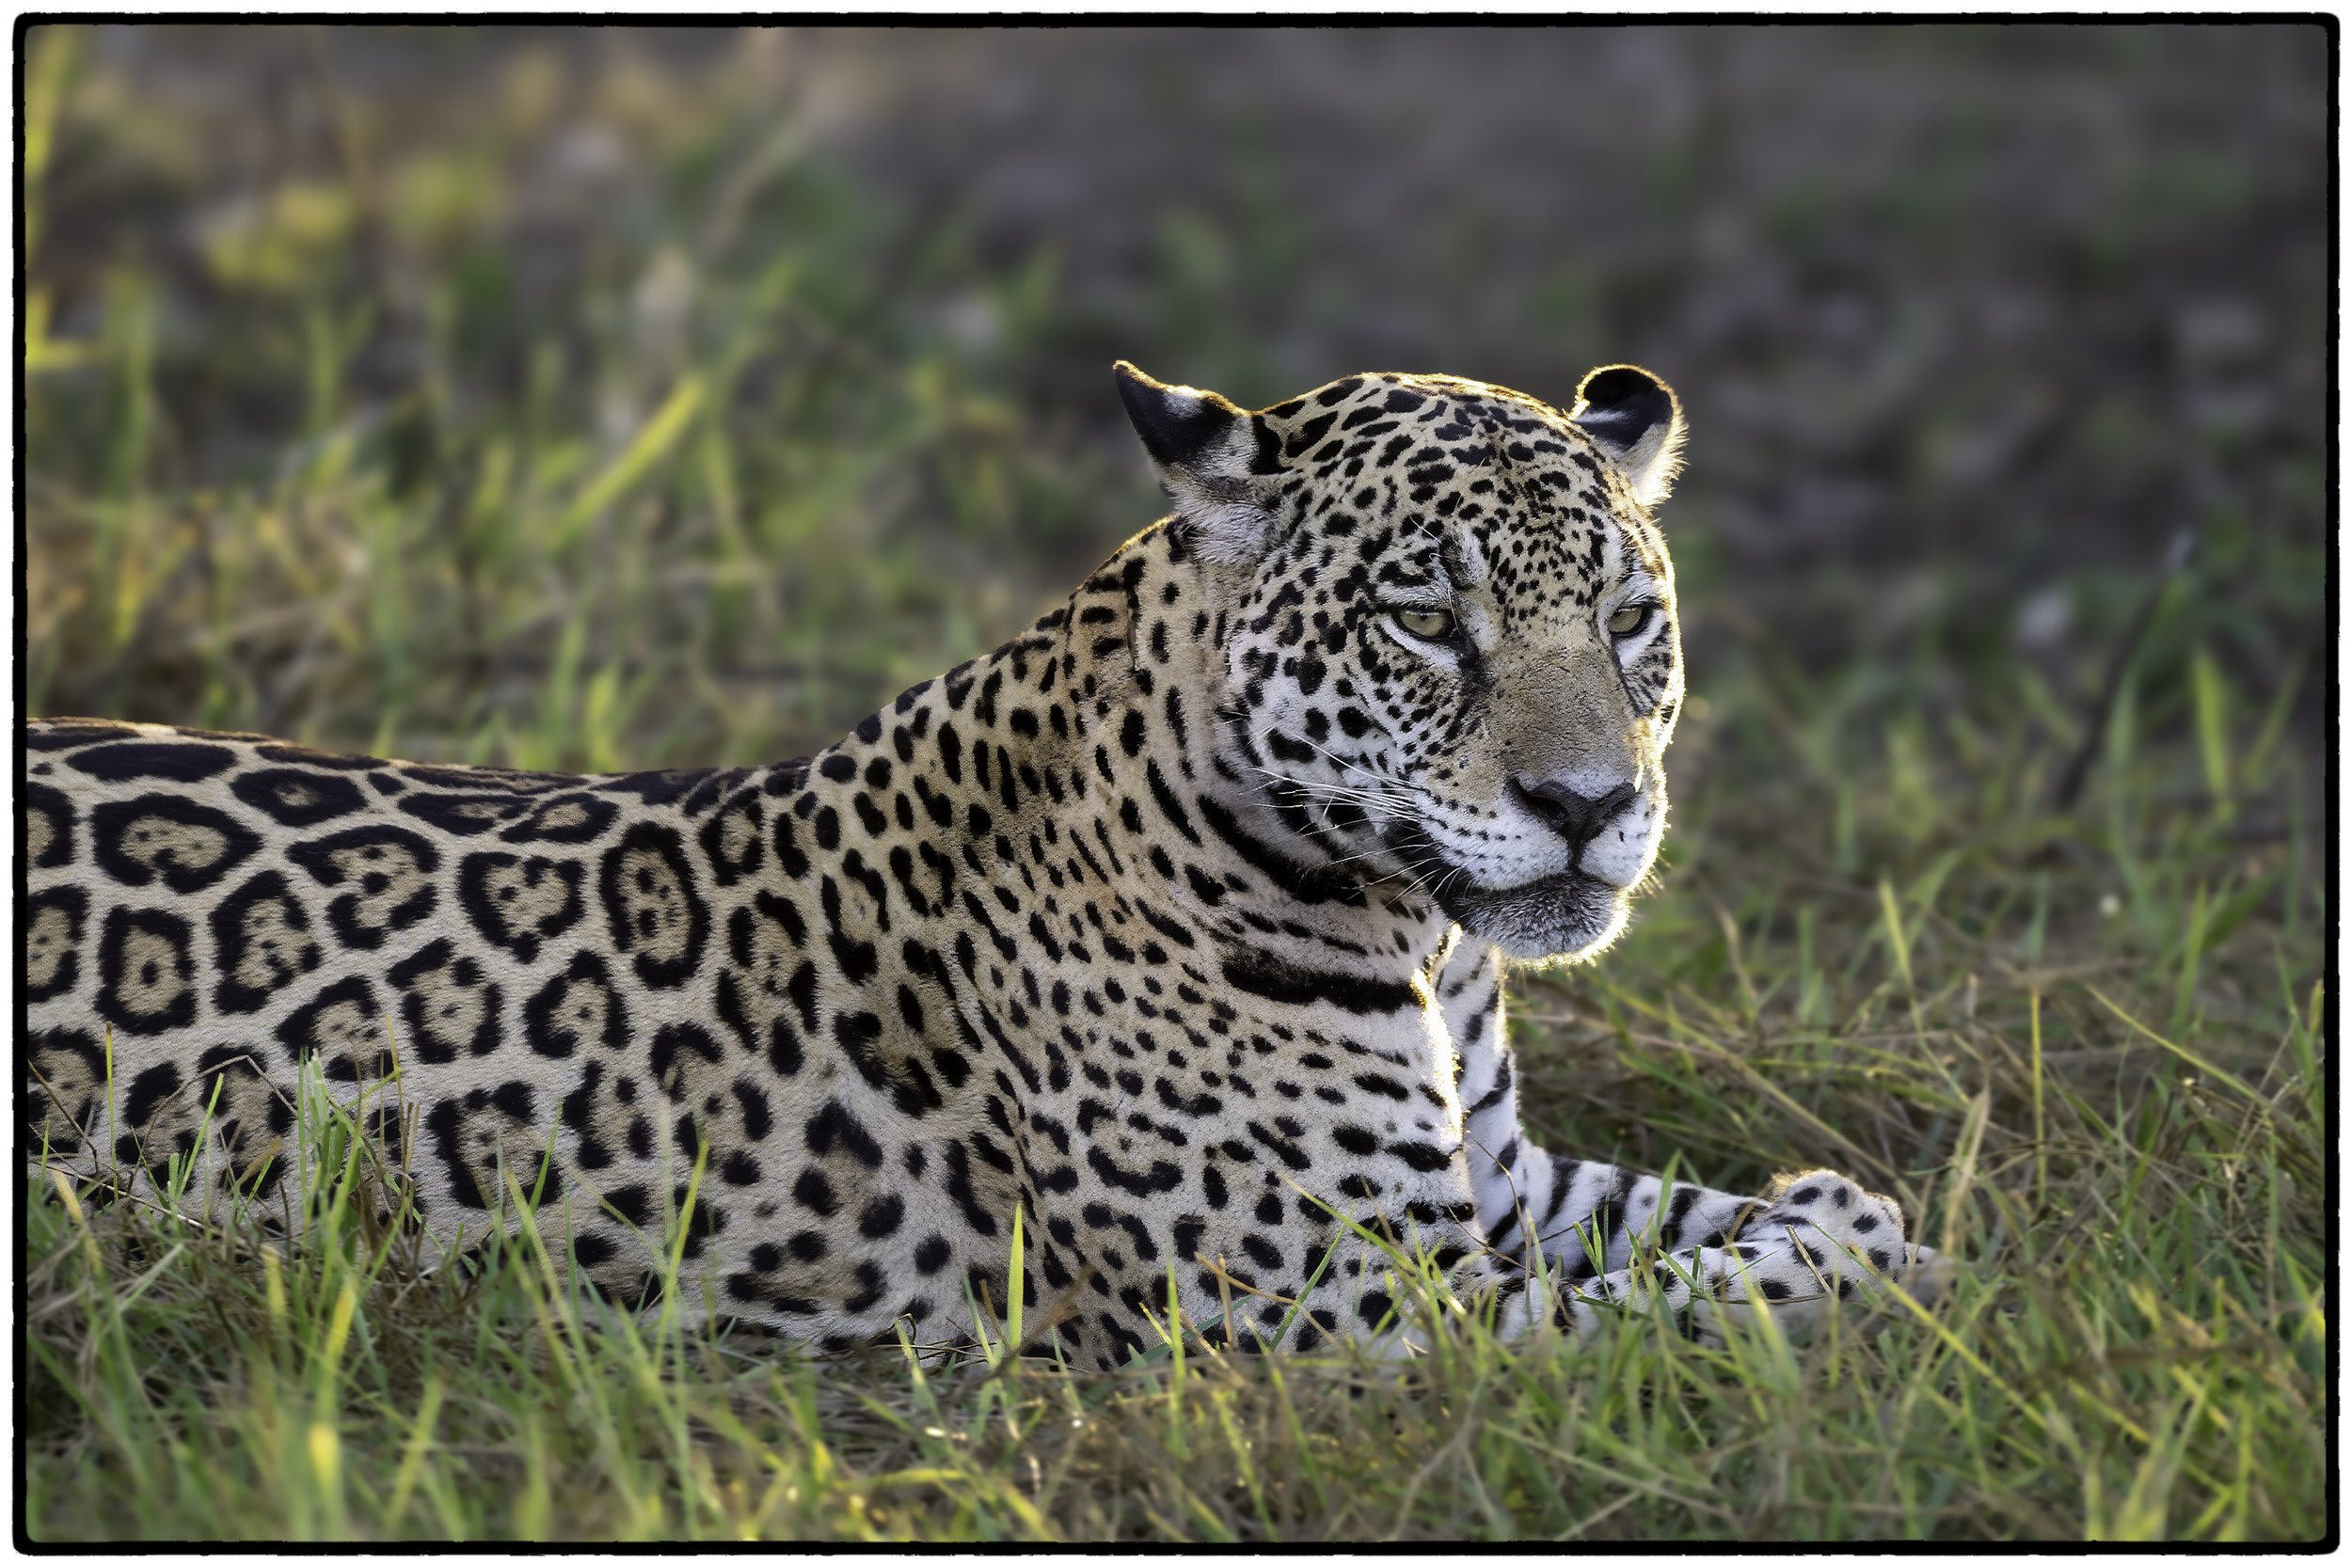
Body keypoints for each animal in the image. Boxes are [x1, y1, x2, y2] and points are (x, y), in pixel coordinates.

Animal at [24, 360, 1950, 1368]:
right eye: (1425, 623)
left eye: (1629, 621)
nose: (1587, 802)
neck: (1426, 939)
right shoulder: (1358, 1314)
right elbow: (1689, 1308)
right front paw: (1848, 1257)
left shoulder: (1493, 1183)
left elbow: (1693, 1220)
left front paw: (1852, 1209)